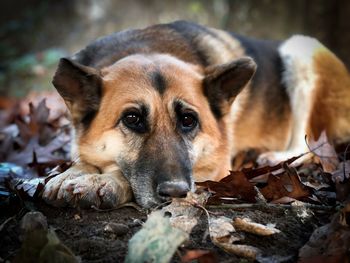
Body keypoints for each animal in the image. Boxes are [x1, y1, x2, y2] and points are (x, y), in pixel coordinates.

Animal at [42, 20, 350, 209]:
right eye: (132, 119)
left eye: (188, 120)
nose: (176, 192)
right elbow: (82, 157)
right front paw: (75, 172)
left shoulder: (213, 168)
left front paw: (103, 180)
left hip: (303, 50)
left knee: (310, 145)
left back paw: (274, 157)